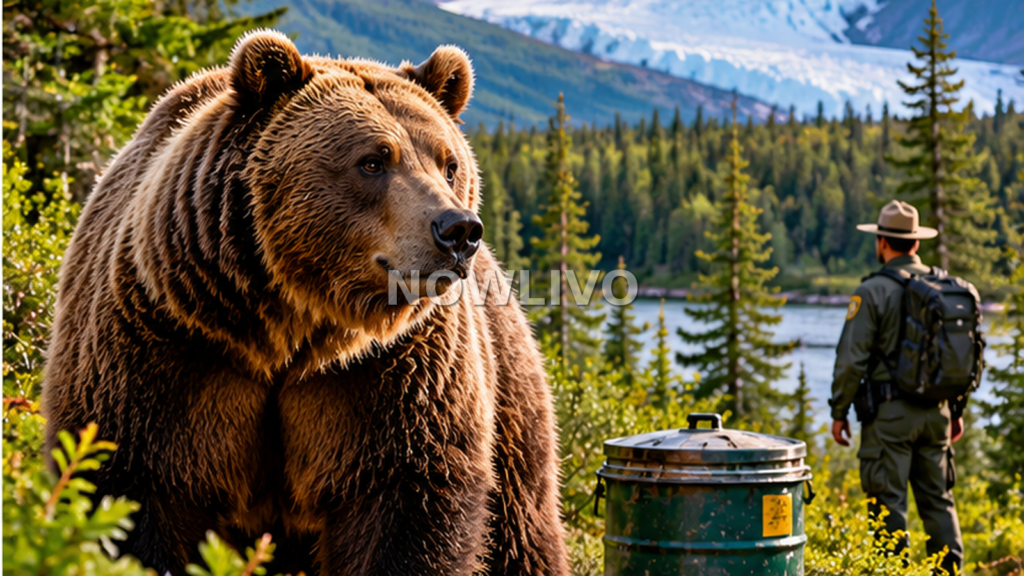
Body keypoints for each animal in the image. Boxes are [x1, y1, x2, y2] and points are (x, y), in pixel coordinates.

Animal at [42, 30, 569, 576]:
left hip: (511, 399)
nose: (457, 230)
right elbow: (136, 485)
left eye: (449, 164)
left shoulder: (392, 374)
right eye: (373, 160)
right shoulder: (170, 346)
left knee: (523, 533)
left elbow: (408, 500)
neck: (290, 325)